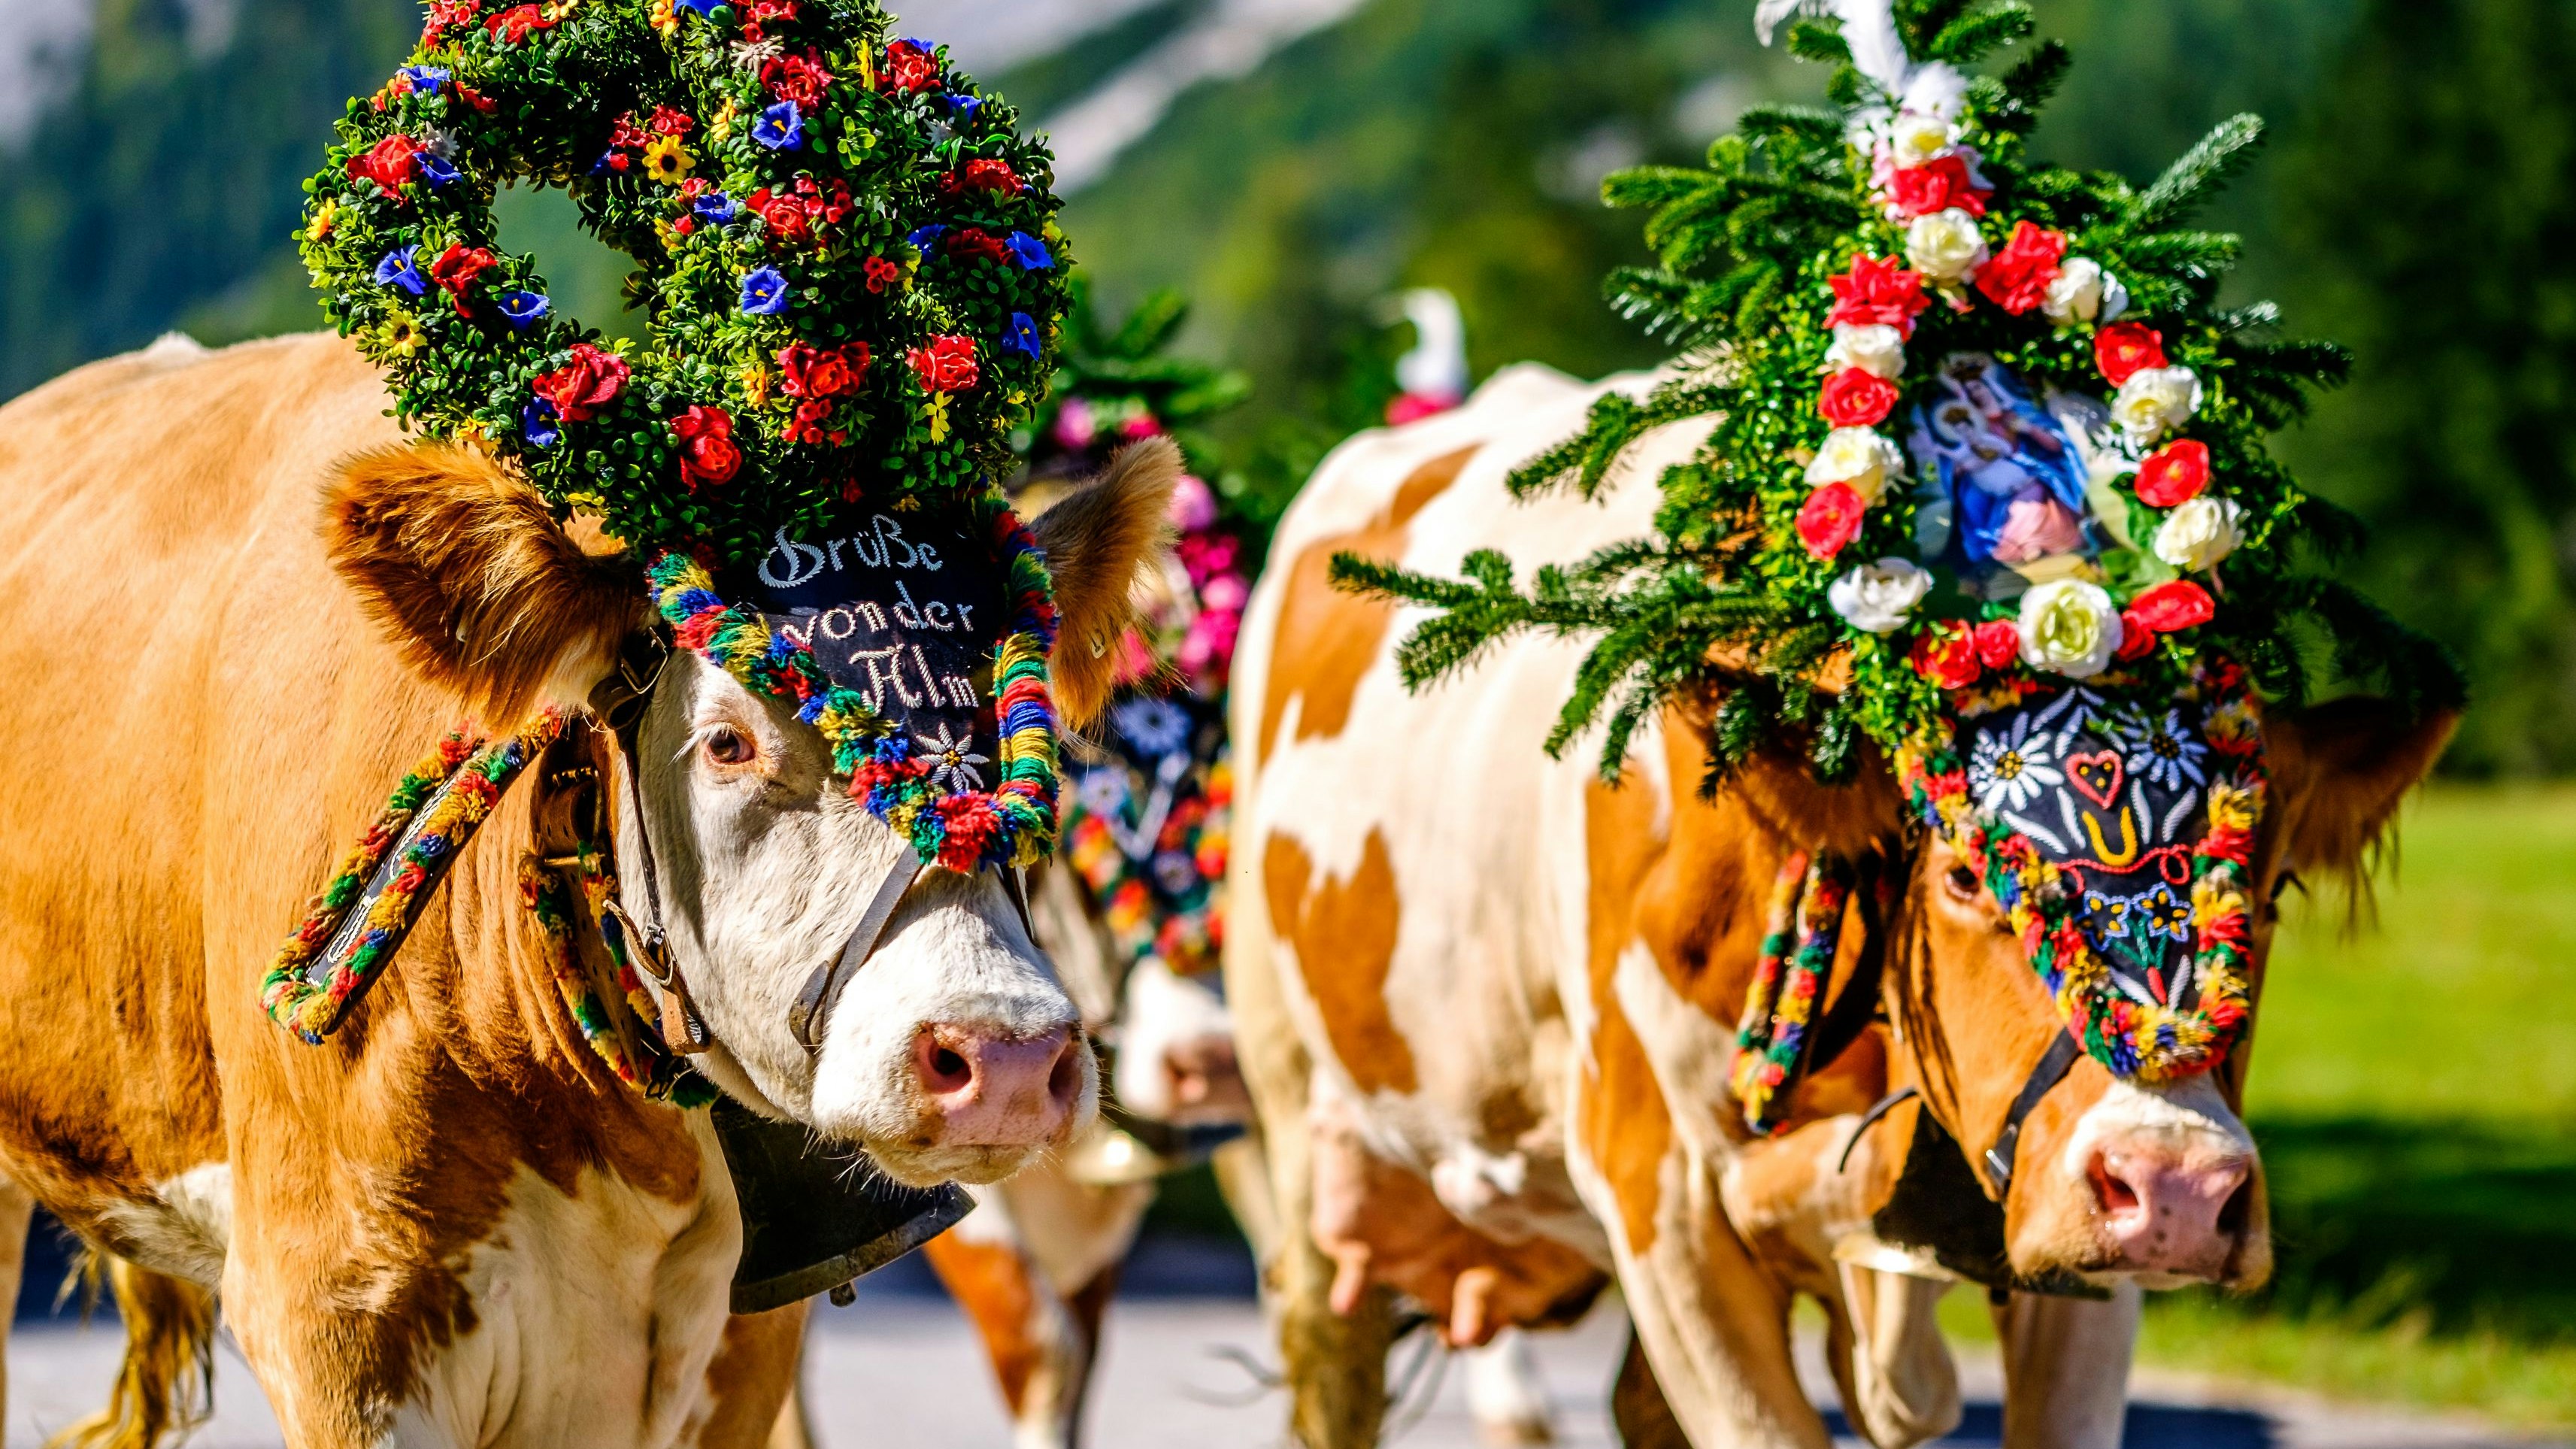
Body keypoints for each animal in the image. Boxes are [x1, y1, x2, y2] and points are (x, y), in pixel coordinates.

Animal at [1226, 365, 2452, 1433]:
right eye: (1962, 871)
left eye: (2266, 888)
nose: (2177, 1184)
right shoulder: (1662, 1201)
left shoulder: (2071, 1248)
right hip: (1290, 1104)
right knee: (1325, 1348)